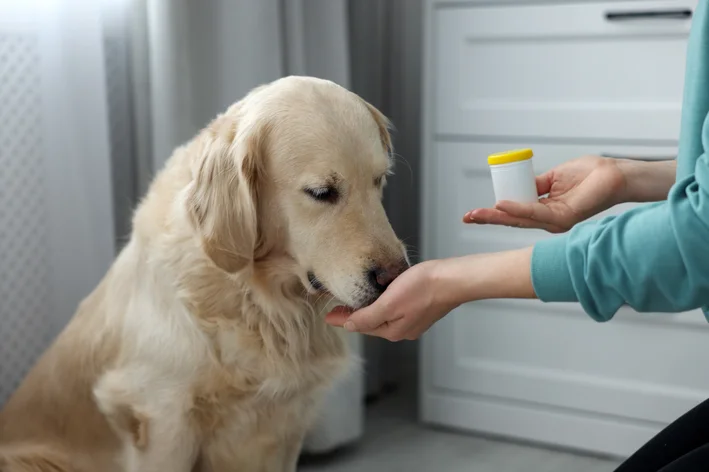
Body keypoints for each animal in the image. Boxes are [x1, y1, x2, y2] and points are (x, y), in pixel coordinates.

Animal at [0, 77, 406, 472]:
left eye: (379, 180)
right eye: (322, 192)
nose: (395, 276)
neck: (256, 299)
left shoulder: (288, 424)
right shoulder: (161, 418)